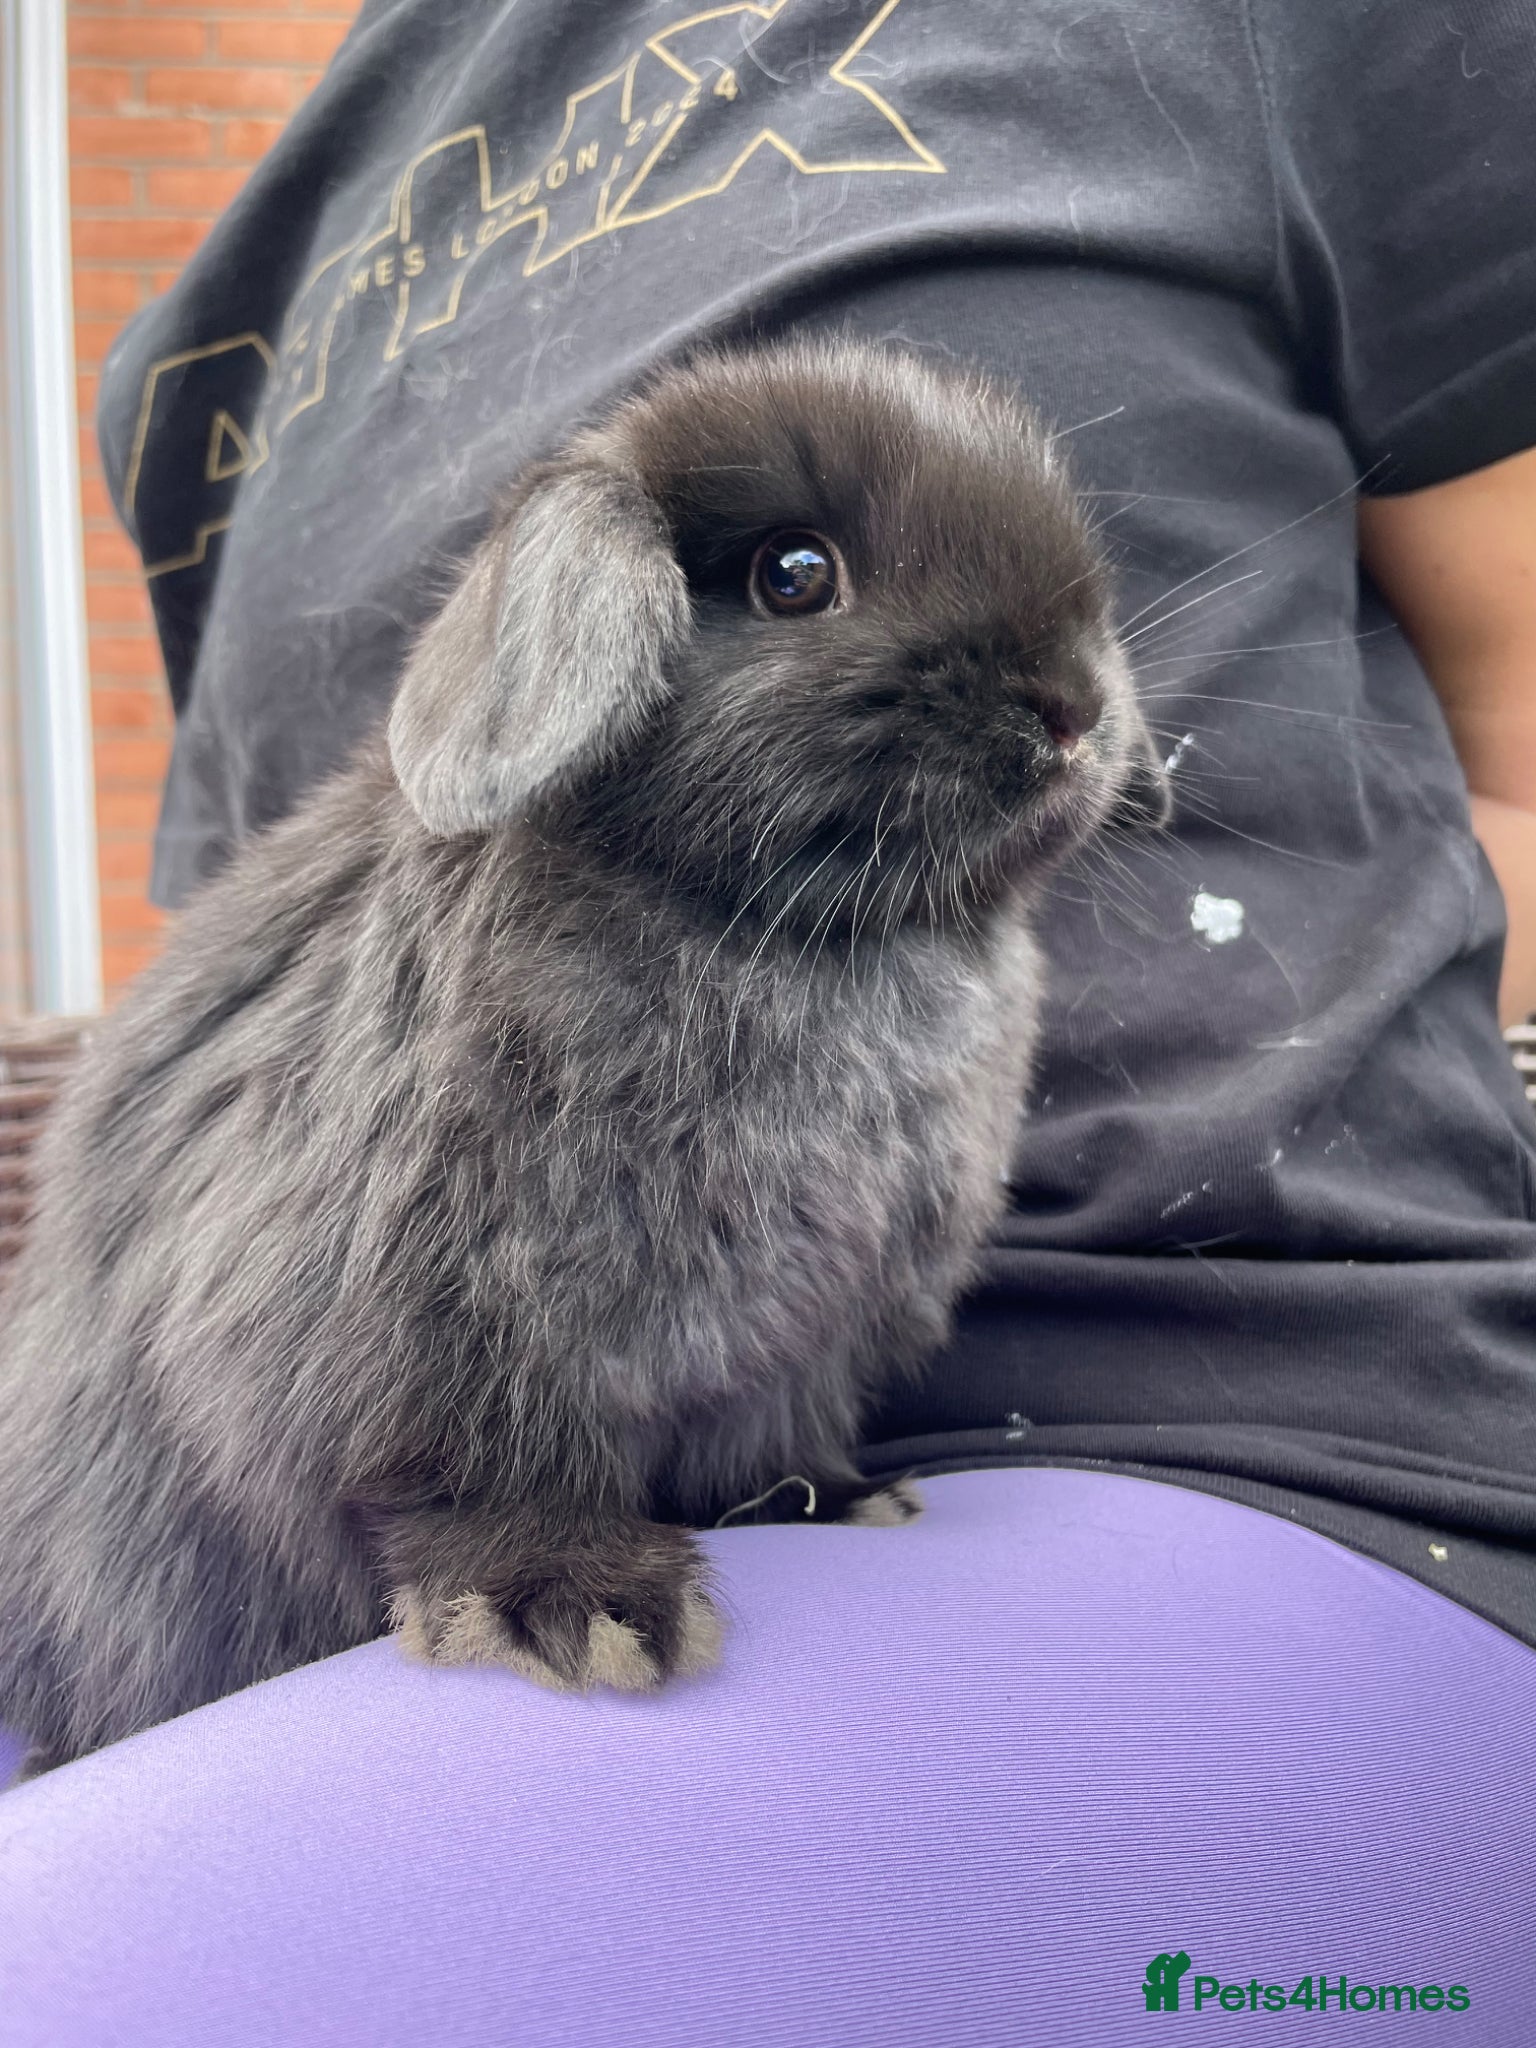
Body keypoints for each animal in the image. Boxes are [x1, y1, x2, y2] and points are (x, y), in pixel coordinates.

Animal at [0, 339, 1170, 1776]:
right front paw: (580, 1609)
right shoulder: (429, 1334)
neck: (789, 929)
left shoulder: (803, 1343)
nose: (1072, 710)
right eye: (795, 573)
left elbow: (772, 1437)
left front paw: (837, 1504)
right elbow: (472, 1481)